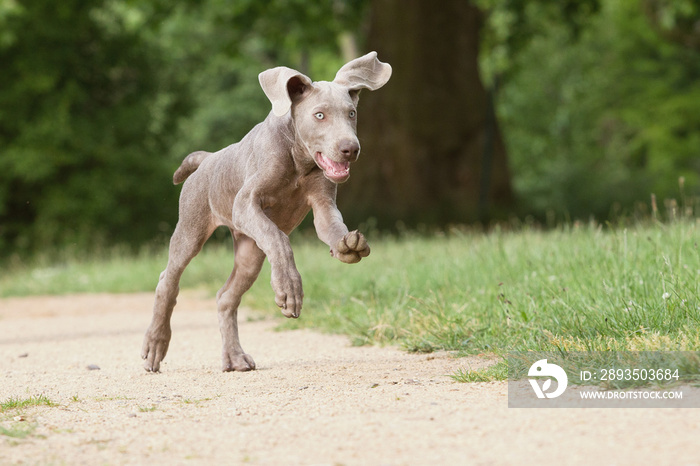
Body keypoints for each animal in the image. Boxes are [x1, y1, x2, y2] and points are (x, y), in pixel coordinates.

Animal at [141, 52, 394, 372]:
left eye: (351, 114)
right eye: (319, 115)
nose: (351, 149)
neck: (298, 159)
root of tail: (207, 159)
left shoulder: (324, 205)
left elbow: (331, 227)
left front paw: (347, 245)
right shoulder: (245, 203)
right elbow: (279, 239)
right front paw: (289, 288)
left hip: (250, 252)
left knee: (226, 297)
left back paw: (235, 358)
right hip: (190, 230)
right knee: (168, 282)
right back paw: (155, 345)